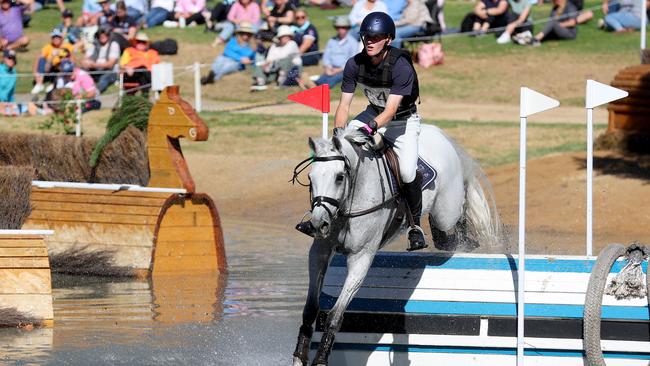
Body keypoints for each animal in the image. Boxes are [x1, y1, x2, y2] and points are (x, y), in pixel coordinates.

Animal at [292, 124, 504, 364]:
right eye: (311, 177)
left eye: (339, 177)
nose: (319, 224)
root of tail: (441, 135)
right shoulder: (320, 251)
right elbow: (311, 308)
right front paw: (299, 356)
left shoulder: (361, 258)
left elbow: (335, 315)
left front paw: (320, 359)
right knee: (442, 236)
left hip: (447, 210)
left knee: (461, 210)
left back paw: (466, 240)